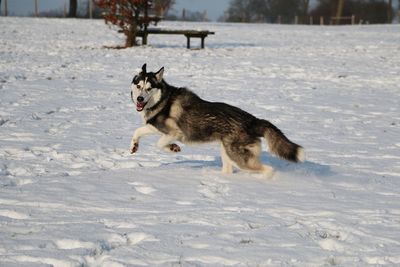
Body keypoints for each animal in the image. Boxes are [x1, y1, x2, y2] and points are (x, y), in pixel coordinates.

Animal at [130, 64, 304, 178]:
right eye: (138, 86)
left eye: (149, 88)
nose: (139, 99)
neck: (164, 100)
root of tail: (253, 120)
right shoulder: (155, 126)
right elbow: (138, 131)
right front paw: (134, 146)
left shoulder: (176, 132)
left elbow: (158, 144)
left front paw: (173, 148)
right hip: (226, 150)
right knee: (228, 170)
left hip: (238, 156)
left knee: (268, 169)